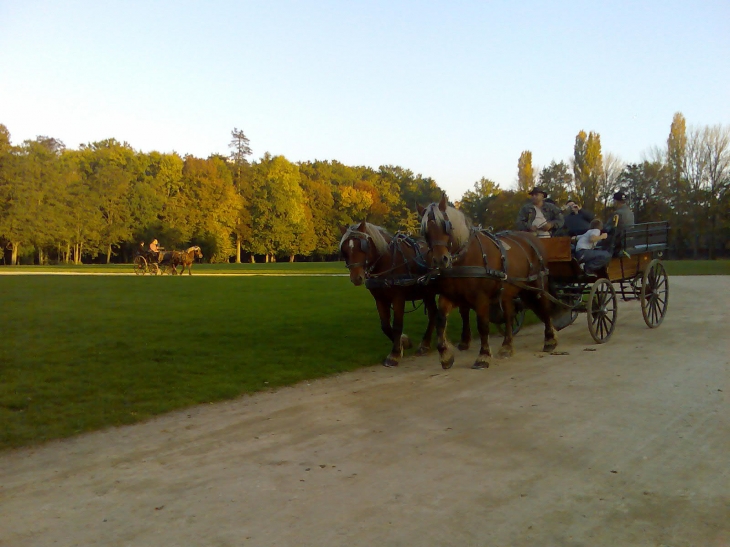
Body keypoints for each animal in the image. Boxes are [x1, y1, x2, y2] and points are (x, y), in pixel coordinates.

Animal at [338, 219, 470, 368]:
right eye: (344, 249)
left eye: (362, 246)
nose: (356, 277)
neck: (388, 261)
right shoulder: (380, 298)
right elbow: (385, 325)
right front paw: (404, 342)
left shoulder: (398, 298)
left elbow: (397, 325)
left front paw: (395, 354)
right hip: (427, 293)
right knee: (433, 315)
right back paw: (425, 345)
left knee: (462, 311)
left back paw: (464, 341)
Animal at [418, 195, 556, 370]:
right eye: (425, 232)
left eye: (446, 226)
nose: (440, 260)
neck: (465, 258)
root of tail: (532, 238)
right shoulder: (449, 295)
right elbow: (440, 320)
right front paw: (445, 355)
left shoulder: (481, 298)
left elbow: (483, 325)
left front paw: (483, 356)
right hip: (509, 290)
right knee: (509, 315)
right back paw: (507, 346)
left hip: (537, 283)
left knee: (545, 308)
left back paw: (550, 340)